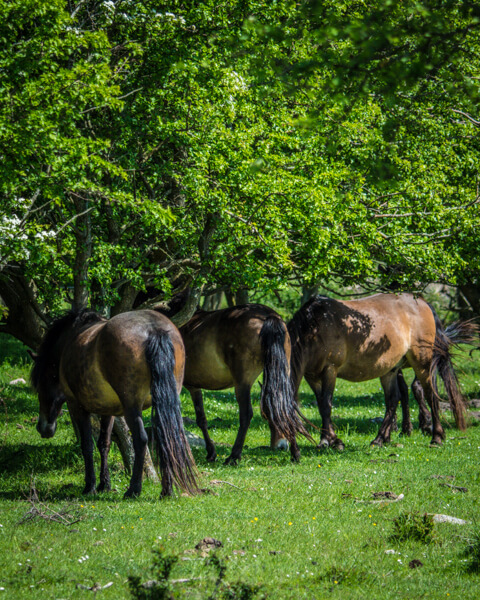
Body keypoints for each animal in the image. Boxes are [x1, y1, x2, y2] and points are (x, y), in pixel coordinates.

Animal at [31, 308, 199, 500]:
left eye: (39, 386)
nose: (43, 428)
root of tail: (154, 330)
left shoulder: (77, 407)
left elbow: (87, 445)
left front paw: (90, 486)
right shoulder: (108, 411)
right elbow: (104, 443)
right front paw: (104, 484)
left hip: (132, 408)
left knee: (141, 439)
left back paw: (134, 489)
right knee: (167, 437)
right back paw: (167, 490)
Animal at [176, 304, 312, 464]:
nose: (279, 446)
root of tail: (268, 316)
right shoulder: (194, 387)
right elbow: (201, 419)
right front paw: (211, 452)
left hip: (242, 383)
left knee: (246, 414)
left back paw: (234, 456)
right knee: (287, 407)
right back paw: (295, 453)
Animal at [286, 292, 474, 448]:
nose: (284, 446)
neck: (315, 326)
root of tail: (422, 302)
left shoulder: (330, 370)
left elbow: (326, 405)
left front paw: (331, 441)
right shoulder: (312, 376)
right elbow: (321, 405)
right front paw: (327, 439)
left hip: (423, 364)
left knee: (429, 395)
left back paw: (436, 437)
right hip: (390, 370)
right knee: (393, 400)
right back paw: (380, 439)